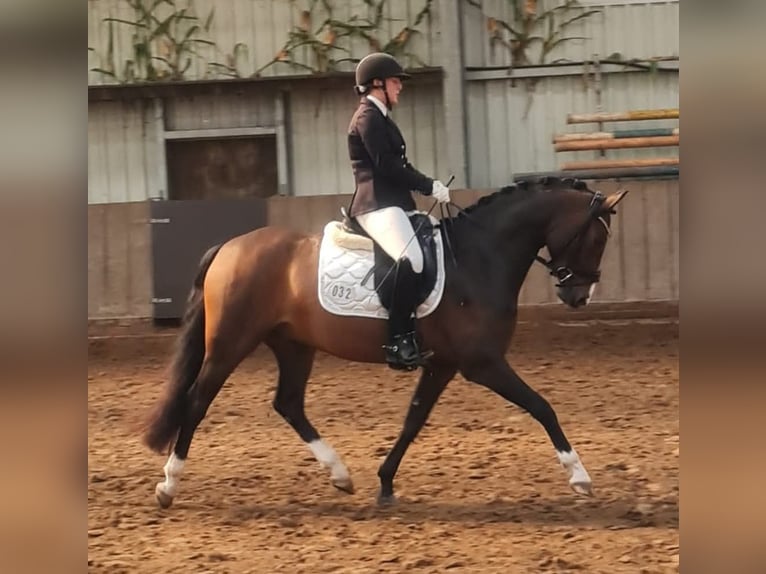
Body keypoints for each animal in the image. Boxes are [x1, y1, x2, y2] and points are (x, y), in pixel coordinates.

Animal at [142, 177, 632, 508]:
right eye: (596, 238)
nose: (578, 296)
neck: (479, 257)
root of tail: (229, 247)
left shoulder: (443, 364)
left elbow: (413, 420)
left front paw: (385, 482)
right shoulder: (483, 363)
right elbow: (541, 406)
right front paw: (580, 476)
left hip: (294, 345)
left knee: (288, 404)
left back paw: (340, 475)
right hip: (230, 342)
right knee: (197, 400)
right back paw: (168, 484)